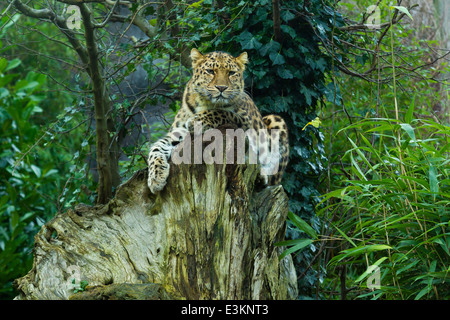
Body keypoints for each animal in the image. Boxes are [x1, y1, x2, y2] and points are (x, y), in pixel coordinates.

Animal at [146, 47, 290, 192]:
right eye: (210, 71)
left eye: (231, 73)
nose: (221, 88)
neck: (205, 103)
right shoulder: (178, 131)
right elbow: (157, 147)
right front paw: (155, 177)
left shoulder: (245, 121)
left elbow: (222, 112)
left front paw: (197, 121)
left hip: (276, 121)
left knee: (272, 177)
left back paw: (262, 176)